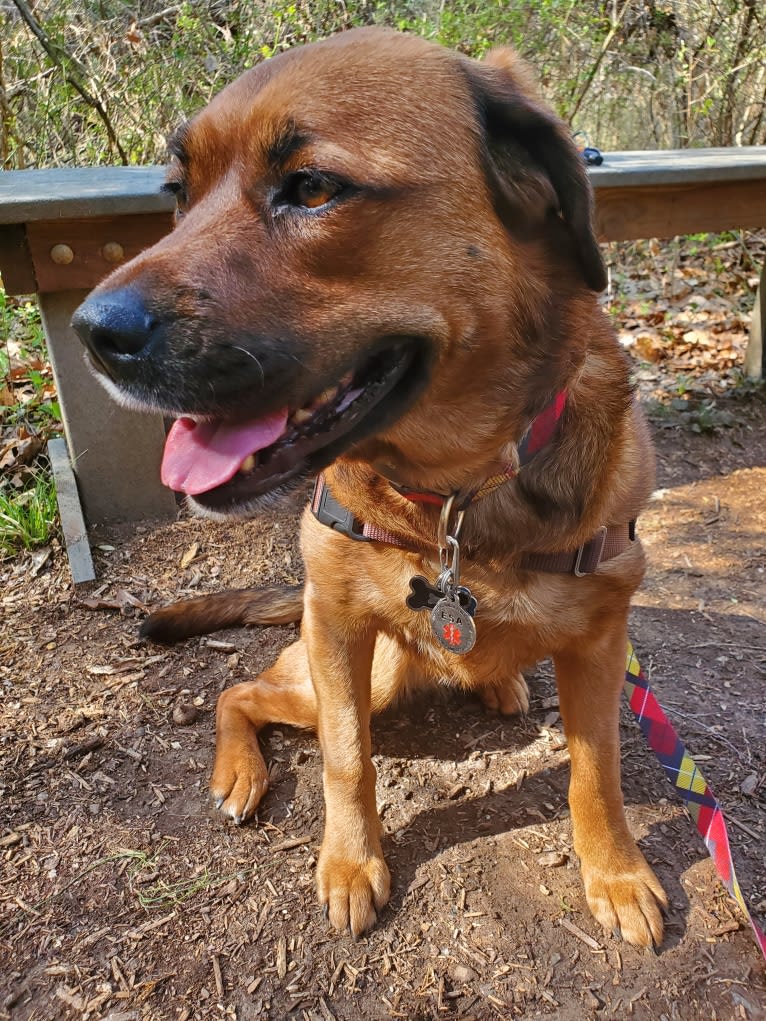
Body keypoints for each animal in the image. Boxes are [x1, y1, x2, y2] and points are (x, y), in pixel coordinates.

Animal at [73, 25, 669, 947]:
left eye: (313, 188)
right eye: (178, 193)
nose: (92, 335)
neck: (456, 499)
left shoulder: (601, 645)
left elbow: (595, 770)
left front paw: (615, 872)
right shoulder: (339, 628)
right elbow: (347, 758)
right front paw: (352, 862)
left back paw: (497, 677)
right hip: (362, 666)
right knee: (242, 690)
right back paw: (240, 770)